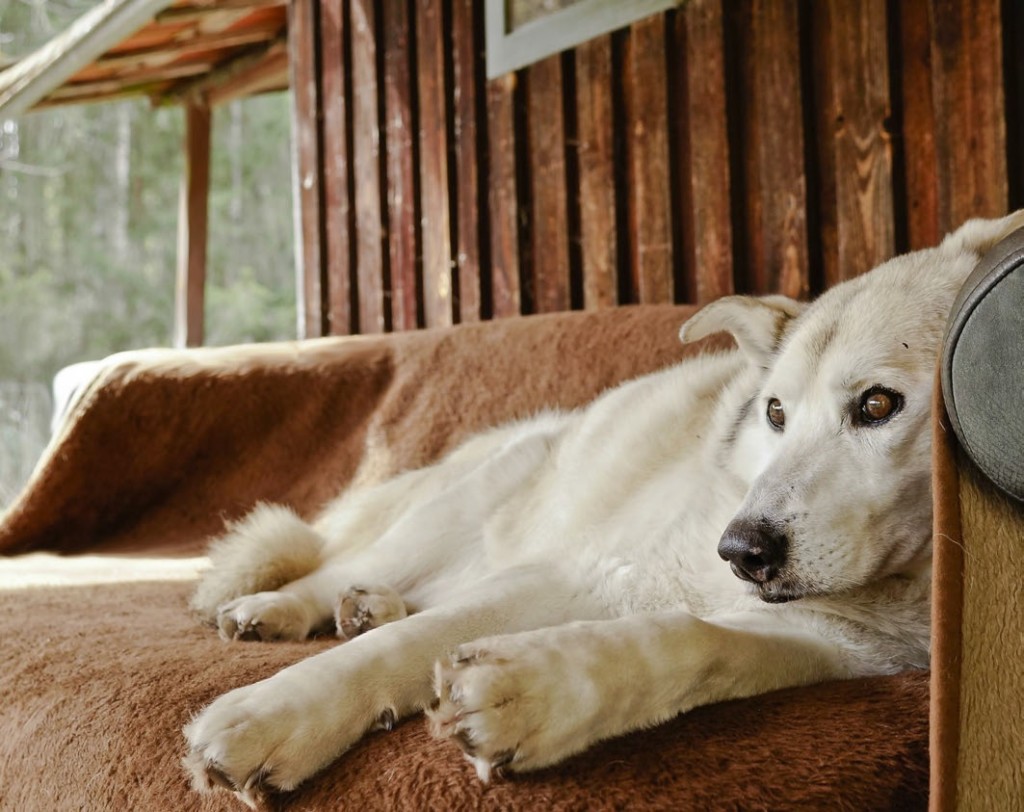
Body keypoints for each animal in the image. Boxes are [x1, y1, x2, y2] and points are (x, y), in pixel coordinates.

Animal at [184, 208, 1024, 802]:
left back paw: (365, 606)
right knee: (342, 567)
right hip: (464, 504)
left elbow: (688, 642)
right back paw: (281, 608)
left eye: (878, 405)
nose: (741, 552)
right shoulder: (574, 572)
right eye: (776, 414)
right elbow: (397, 649)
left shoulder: (828, 644)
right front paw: (270, 715)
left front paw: (536, 688)